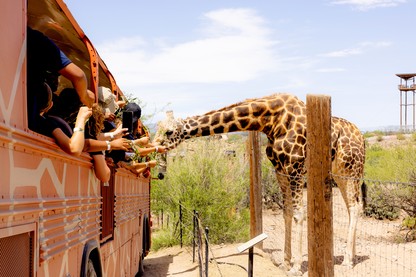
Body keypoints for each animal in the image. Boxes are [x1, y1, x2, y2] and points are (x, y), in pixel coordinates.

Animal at [153, 92, 364, 274]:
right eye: (158, 129)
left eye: (169, 132)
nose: (155, 147)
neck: (270, 122)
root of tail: (362, 138)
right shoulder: (280, 170)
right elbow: (287, 213)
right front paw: (285, 262)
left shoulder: (295, 168)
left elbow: (298, 214)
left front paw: (296, 267)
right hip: (340, 173)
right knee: (352, 206)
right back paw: (352, 257)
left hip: (351, 171)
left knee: (355, 207)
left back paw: (347, 261)